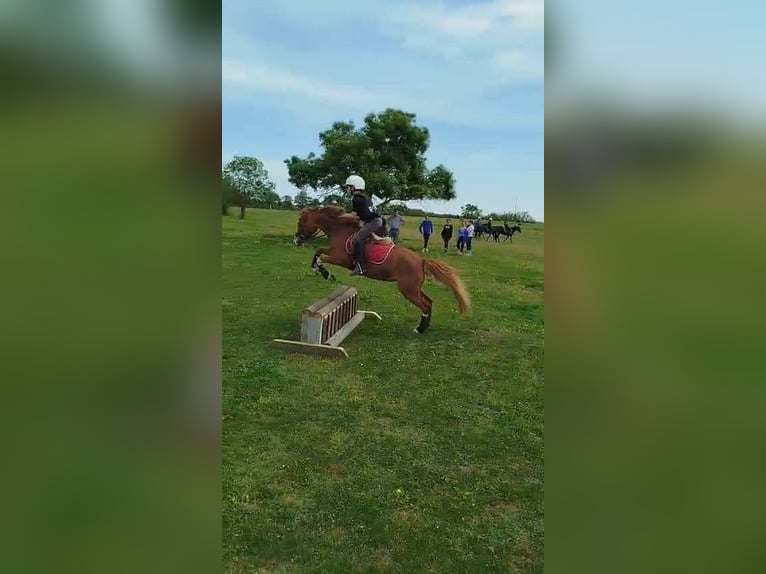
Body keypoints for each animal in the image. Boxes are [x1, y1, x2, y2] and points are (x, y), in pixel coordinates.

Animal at [293, 206, 471, 334]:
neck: (340, 230)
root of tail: (421, 260)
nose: (297, 240)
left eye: (301, 222)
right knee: (429, 302)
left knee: (425, 305)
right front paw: (321, 271)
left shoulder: (341, 258)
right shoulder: (334, 253)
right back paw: (424, 327)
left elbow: (321, 256)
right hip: (413, 288)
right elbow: (319, 252)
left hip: (408, 289)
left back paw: (420, 329)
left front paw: (325, 272)